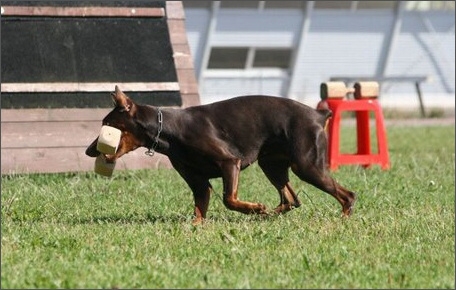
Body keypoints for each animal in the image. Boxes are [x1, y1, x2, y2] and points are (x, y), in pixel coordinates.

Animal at [85, 86, 356, 224]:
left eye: (106, 124)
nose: (88, 151)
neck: (169, 130)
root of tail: (318, 115)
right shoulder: (198, 182)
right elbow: (199, 210)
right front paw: (195, 228)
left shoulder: (230, 162)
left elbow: (229, 199)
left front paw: (252, 207)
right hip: (272, 164)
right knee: (291, 199)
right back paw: (265, 214)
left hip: (307, 165)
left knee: (347, 195)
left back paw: (341, 219)